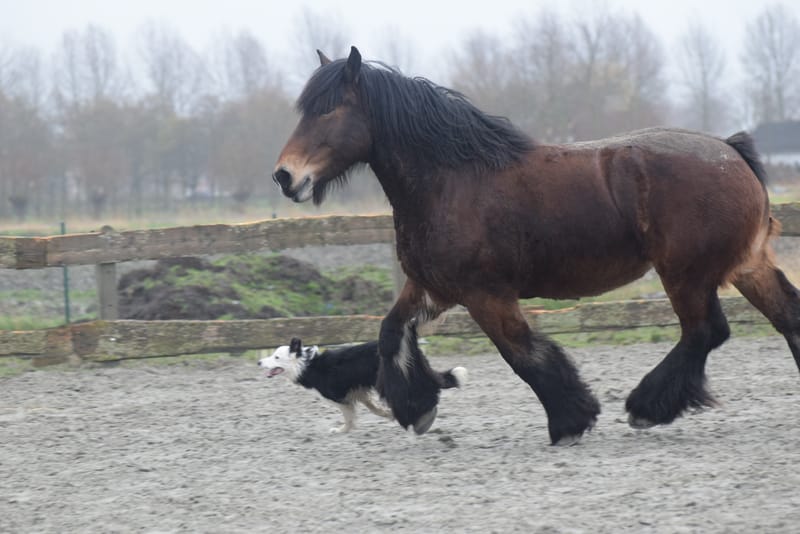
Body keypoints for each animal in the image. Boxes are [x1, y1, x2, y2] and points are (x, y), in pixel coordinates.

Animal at [272, 46, 800, 445]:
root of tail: (731, 151)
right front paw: (417, 408)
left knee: (704, 331)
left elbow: (524, 355)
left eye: (329, 109)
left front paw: (571, 420)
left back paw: (646, 407)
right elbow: (390, 333)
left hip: (685, 274)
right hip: (745, 266)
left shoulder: (486, 295)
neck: (451, 181)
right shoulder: (433, 289)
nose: (285, 176)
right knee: (785, 317)